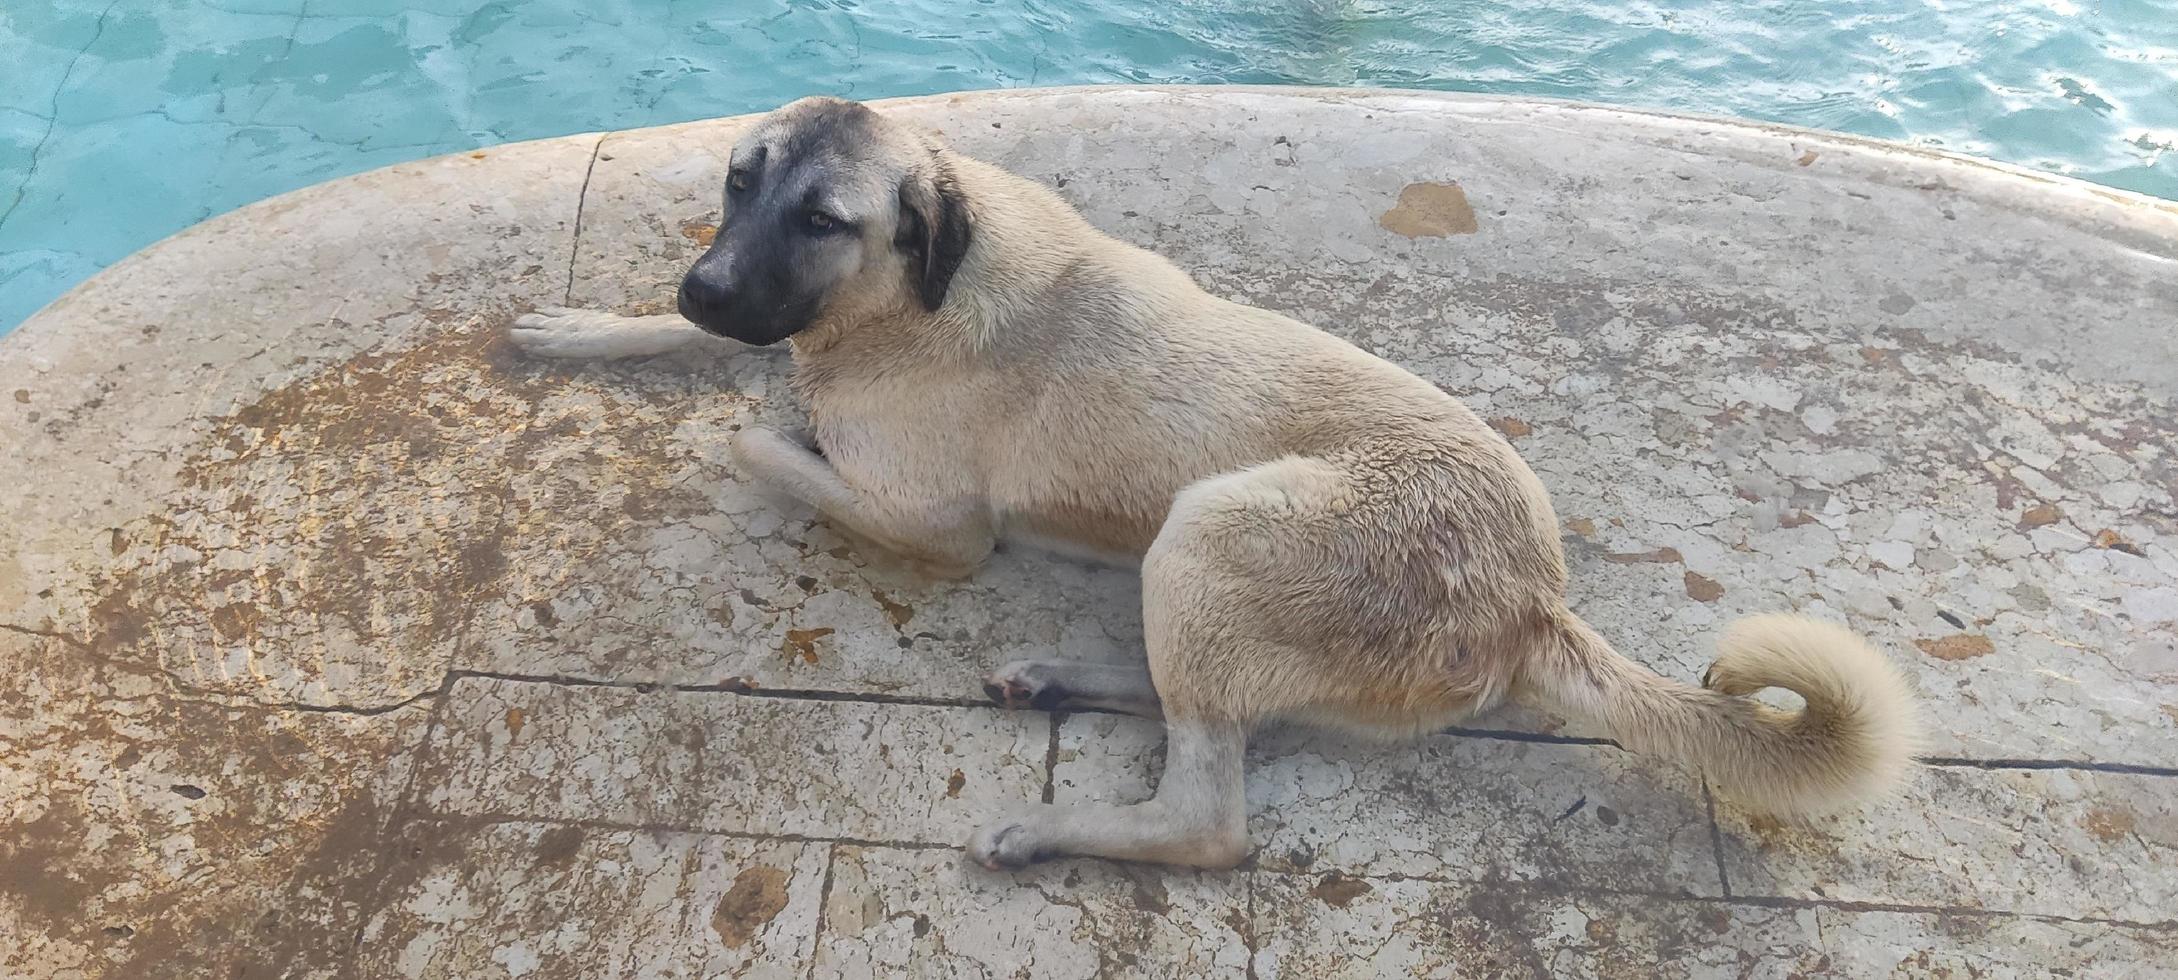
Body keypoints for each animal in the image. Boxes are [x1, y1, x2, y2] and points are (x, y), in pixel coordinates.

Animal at [509, 95, 1907, 871]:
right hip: (1205, 573)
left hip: (1213, 523)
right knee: (1219, 714)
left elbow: (754, 441)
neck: (908, 293)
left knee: (1211, 816)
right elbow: (712, 358)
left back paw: (1047, 826)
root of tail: (1533, 599)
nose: (707, 284)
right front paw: (590, 327)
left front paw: (734, 417)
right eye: (739, 182)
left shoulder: (938, 523)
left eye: (822, 218)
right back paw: (1060, 674)